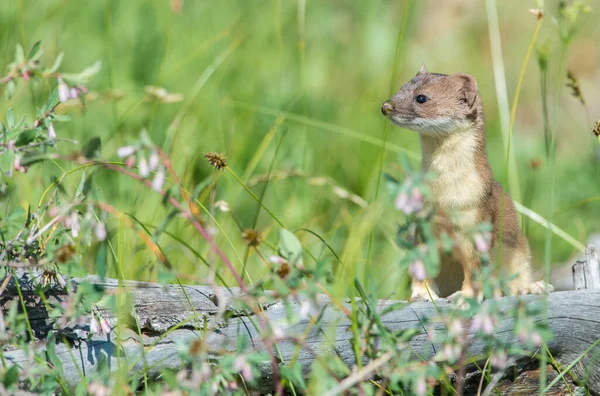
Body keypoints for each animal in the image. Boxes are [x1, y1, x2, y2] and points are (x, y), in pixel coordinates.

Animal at [382, 64, 552, 300]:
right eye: (401, 87)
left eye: (421, 97)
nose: (386, 106)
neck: (443, 196)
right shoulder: (422, 221)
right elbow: (420, 264)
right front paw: (422, 294)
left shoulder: (476, 218)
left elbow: (475, 267)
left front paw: (465, 297)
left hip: (520, 251)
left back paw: (532, 287)